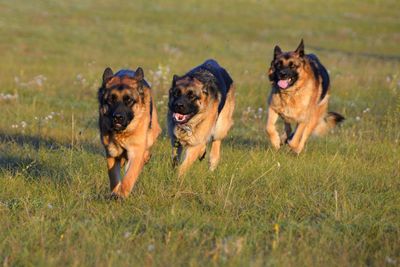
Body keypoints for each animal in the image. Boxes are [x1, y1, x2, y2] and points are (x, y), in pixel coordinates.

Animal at [98, 67, 161, 197]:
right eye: (111, 100)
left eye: (129, 100)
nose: (118, 117)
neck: (122, 133)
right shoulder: (111, 152)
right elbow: (113, 177)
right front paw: (115, 192)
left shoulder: (136, 151)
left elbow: (129, 177)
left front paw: (121, 194)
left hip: (152, 133)